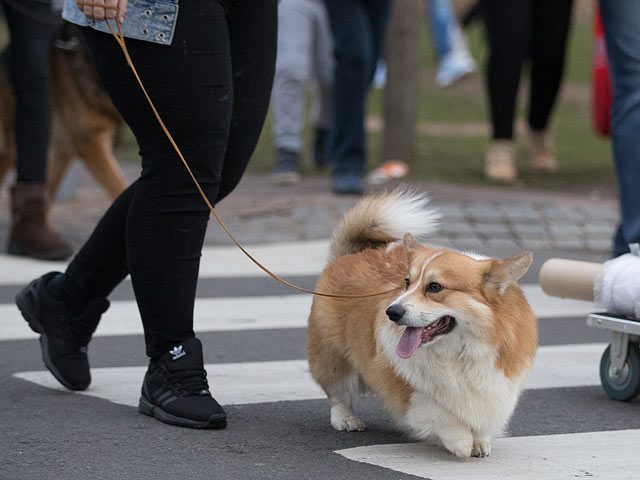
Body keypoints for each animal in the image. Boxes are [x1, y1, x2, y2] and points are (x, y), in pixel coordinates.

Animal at [308, 188, 536, 458]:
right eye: (407, 282)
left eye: (435, 287)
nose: (392, 312)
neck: (460, 350)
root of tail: (350, 255)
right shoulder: (408, 389)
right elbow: (440, 413)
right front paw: (460, 442)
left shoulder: (498, 384)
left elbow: (482, 418)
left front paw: (480, 442)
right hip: (334, 358)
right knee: (338, 393)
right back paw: (346, 419)